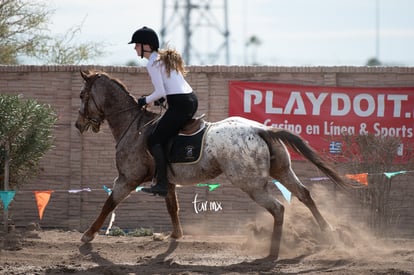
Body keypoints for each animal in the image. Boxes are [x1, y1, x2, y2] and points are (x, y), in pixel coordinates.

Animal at [75, 70, 352, 260]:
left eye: (82, 95)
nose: (78, 124)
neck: (134, 126)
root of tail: (260, 129)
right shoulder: (167, 182)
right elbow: (172, 208)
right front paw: (175, 236)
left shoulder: (127, 178)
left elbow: (109, 203)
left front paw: (87, 235)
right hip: (282, 171)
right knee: (304, 194)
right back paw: (328, 232)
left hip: (251, 184)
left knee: (278, 208)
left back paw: (273, 251)